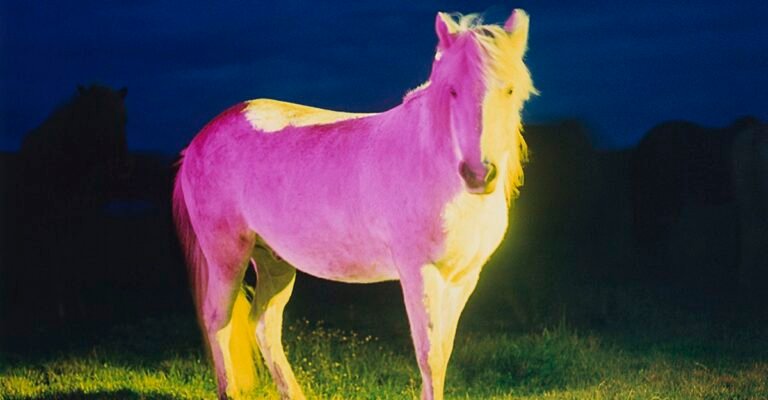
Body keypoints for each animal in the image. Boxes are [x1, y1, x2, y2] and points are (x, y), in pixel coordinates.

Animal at [173, 9, 535, 400]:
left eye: (509, 89)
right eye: (452, 90)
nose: (479, 174)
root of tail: (196, 143)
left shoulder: (465, 277)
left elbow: (444, 352)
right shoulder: (419, 273)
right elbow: (430, 356)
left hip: (273, 261)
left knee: (264, 324)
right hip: (227, 256)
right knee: (218, 320)